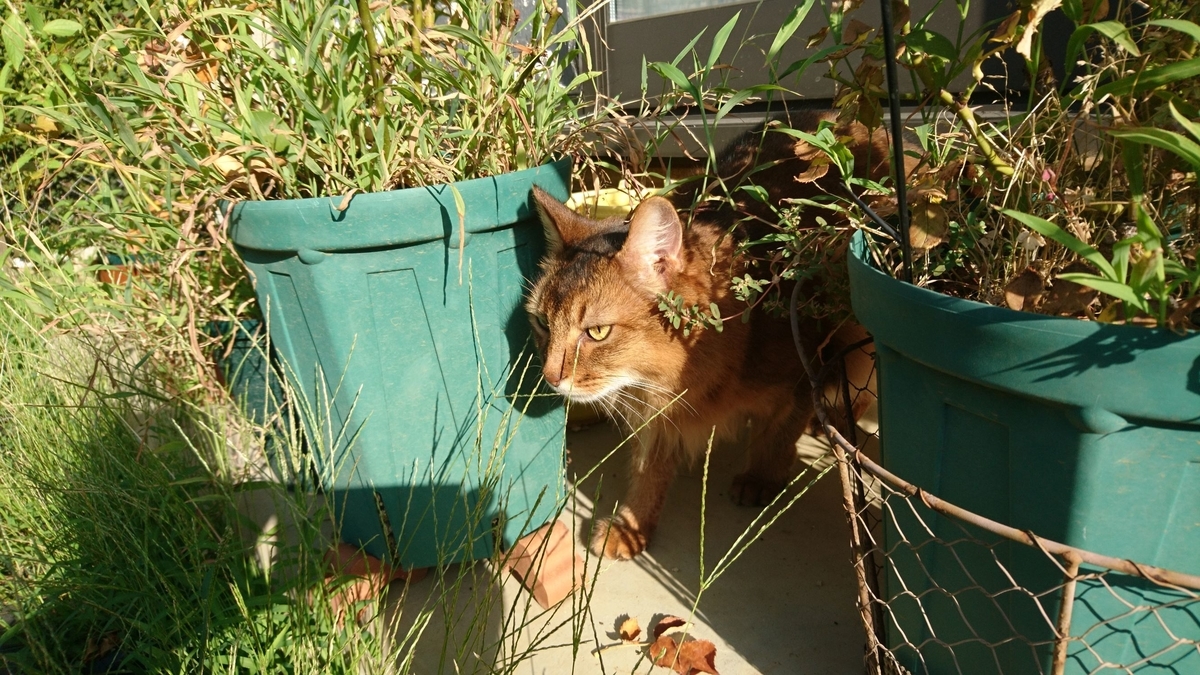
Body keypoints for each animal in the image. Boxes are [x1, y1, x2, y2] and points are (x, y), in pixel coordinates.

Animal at [528, 111, 892, 562]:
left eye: (597, 332)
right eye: (543, 324)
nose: (550, 378)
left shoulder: (804, 359)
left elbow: (779, 431)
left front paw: (762, 476)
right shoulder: (656, 409)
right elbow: (648, 468)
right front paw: (632, 526)